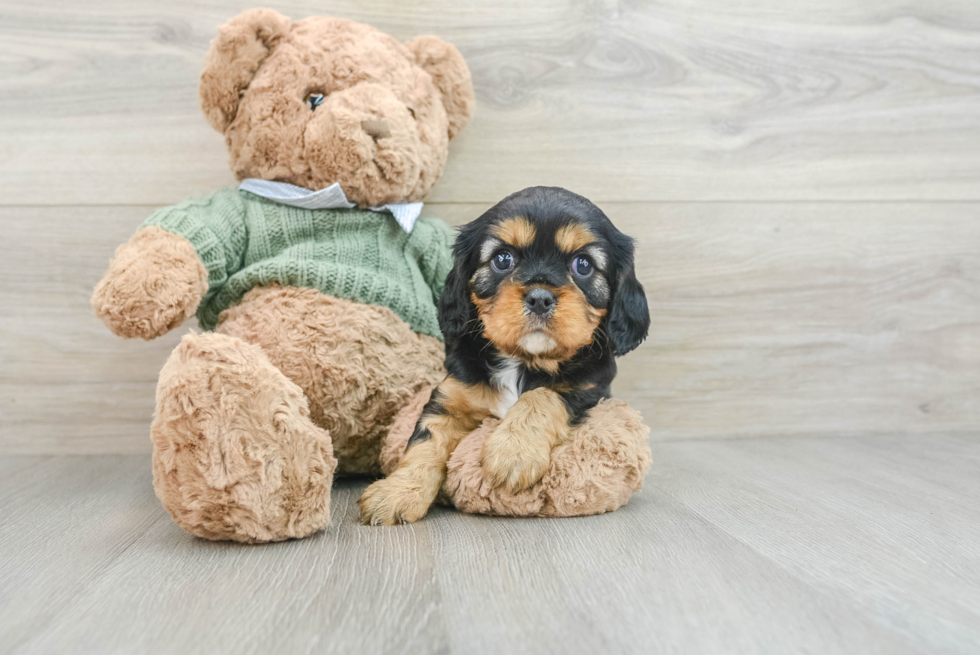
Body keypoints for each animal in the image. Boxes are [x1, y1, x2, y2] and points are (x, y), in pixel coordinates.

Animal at [360, 187, 652, 524]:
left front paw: (513, 451)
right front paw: (396, 492)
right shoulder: (450, 398)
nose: (540, 297)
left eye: (583, 264)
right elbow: (424, 442)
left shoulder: (589, 390)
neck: (523, 361)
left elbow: (543, 395)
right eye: (502, 258)